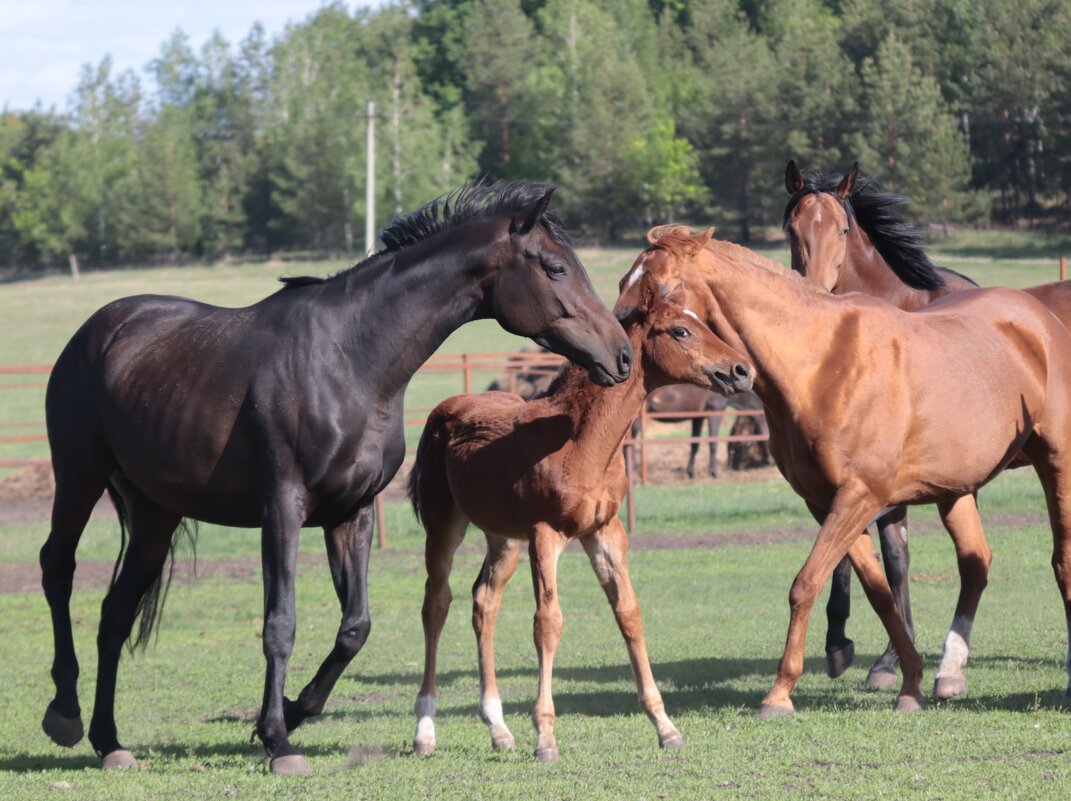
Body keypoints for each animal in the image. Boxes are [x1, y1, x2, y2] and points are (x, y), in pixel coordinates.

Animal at [39, 183, 634, 775]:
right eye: (556, 268)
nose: (622, 354)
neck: (349, 360)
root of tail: (100, 331)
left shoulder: (352, 512)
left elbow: (355, 627)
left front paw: (290, 711)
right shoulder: (282, 510)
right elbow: (280, 625)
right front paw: (279, 741)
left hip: (154, 515)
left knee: (115, 614)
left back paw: (110, 741)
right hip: (78, 477)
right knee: (57, 567)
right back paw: (65, 714)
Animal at [406, 270, 753, 762]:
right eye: (681, 331)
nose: (742, 371)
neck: (581, 441)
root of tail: (445, 409)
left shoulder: (604, 531)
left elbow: (629, 613)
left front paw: (665, 726)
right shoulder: (545, 534)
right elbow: (547, 623)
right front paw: (545, 736)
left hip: (502, 537)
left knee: (484, 601)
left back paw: (498, 728)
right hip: (444, 524)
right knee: (436, 604)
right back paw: (425, 731)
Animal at [616, 227, 1071, 719]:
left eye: (661, 288)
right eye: (625, 280)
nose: (620, 350)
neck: (820, 365)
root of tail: (1043, 320)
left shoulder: (861, 496)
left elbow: (806, 584)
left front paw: (779, 693)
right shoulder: (826, 502)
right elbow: (879, 592)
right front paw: (909, 680)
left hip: (1056, 465)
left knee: (1061, 562)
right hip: (955, 489)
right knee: (975, 564)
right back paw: (948, 673)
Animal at [783, 160, 1071, 693]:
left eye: (842, 229)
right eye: (792, 228)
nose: (813, 290)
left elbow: (888, 558)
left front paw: (865, 652)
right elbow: (887, 559)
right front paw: (874, 653)